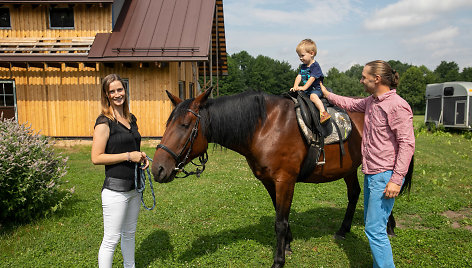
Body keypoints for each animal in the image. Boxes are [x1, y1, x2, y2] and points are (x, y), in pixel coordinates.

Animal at [152, 87, 412, 266]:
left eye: (186, 125)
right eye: (167, 124)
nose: (157, 169)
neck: (263, 127)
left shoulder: (285, 180)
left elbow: (280, 221)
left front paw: (278, 260)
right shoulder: (269, 181)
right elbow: (280, 214)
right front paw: (287, 243)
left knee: (386, 190)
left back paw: (389, 227)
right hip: (349, 168)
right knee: (355, 193)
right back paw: (344, 229)